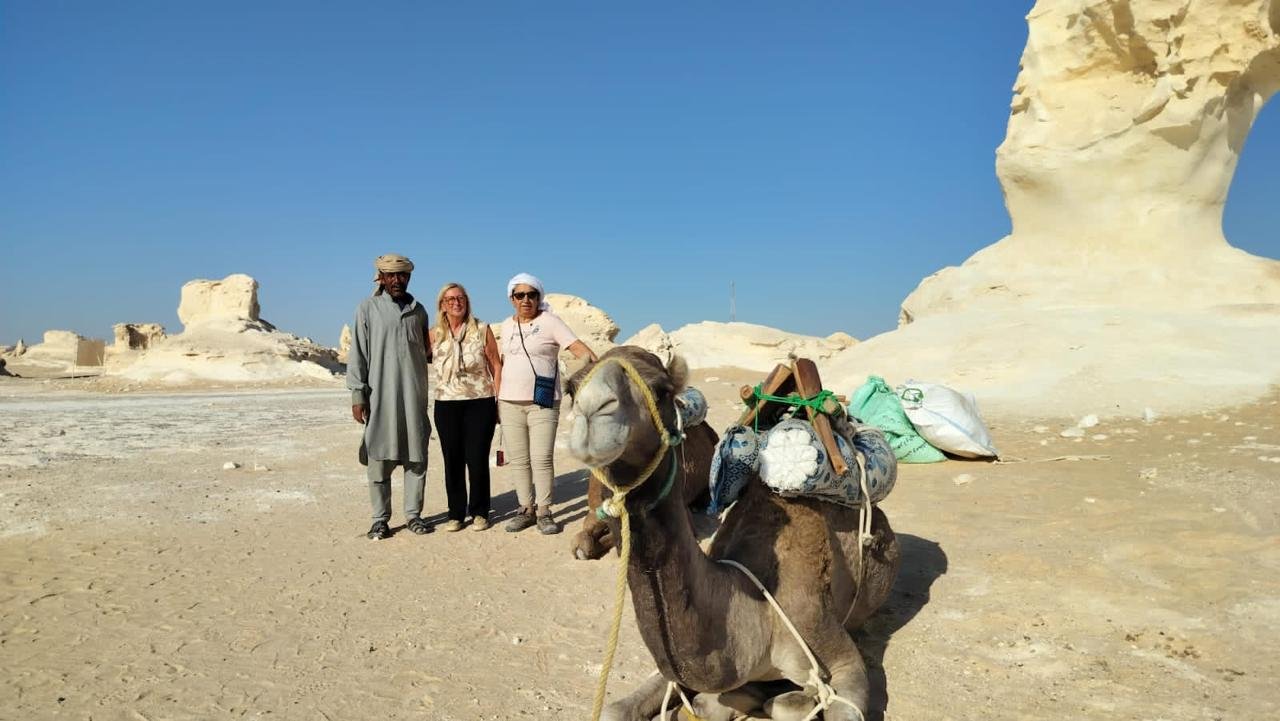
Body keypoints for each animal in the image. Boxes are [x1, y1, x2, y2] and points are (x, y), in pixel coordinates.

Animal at [566, 347, 901, 721]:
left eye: (661, 390)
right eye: (570, 388)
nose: (592, 412)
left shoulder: (830, 643)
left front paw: (776, 698)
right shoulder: (676, 670)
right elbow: (615, 708)